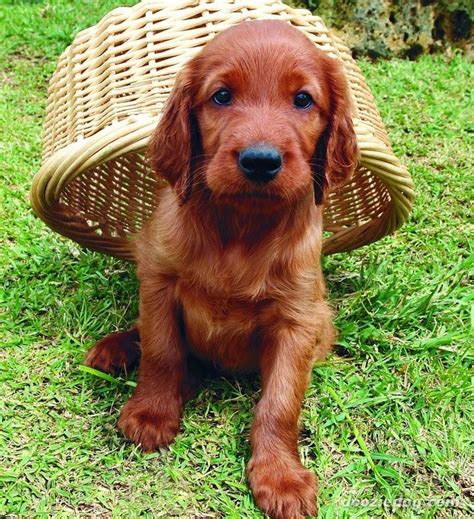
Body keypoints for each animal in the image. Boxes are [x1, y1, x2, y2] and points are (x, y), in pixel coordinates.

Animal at [87, 18, 358, 516]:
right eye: (222, 96)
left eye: (303, 100)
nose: (260, 161)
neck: (241, 225)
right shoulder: (159, 281)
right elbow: (162, 351)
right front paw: (151, 413)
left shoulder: (298, 319)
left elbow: (280, 402)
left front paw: (280, 478)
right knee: (150, 337)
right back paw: (116, 350)